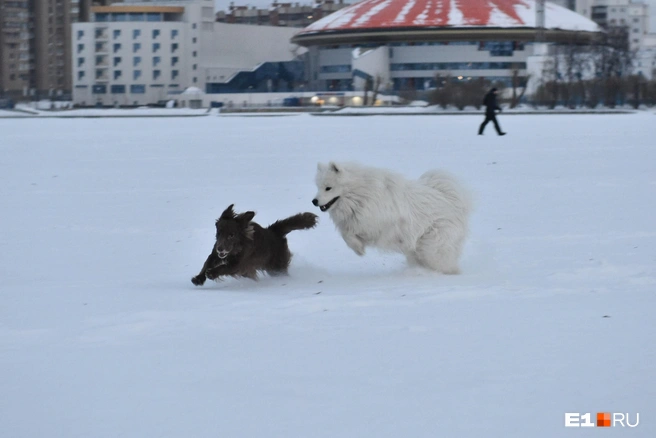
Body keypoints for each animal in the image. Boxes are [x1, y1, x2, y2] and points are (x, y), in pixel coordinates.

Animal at [312, 162, 472, 274]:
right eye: (318, 187)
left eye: (328, 188)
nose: (314, 201)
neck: (360, 195)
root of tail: (451, 200)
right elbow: (346, 234)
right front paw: (358, 249)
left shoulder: (377, 226)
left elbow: (350, 233)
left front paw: (359, 249)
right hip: (417, 249)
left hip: (431, 247)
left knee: (445, 264)